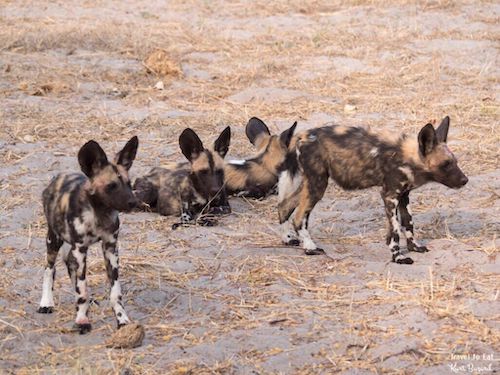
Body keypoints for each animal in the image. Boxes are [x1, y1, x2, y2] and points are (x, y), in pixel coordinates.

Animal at [37, 137, 140, 334]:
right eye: (111, 186)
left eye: (129, 184)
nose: (133, 202)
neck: (99, 213)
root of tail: (57, 177)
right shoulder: (80, 249)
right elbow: (82, 290)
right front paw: (82, 321)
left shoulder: (110, 248)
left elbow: (115, 292)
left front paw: (122, 320)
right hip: (54, 240)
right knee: (49, 269)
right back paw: (46, 302)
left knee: (71, 270)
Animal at [280, 117, 466, 264]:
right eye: (446, 164)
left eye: (455, 162)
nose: (465, 180)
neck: (408, 157)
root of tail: (302, 135)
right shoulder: (390, 196)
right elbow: (395, 230)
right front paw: (398, 257)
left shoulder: (404, 196)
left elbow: (409, 223)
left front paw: (414, 247)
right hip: (317, 185)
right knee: (298, 217)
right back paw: (310, 248)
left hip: (311, 185)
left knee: (284, 207)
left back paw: (289, 239)